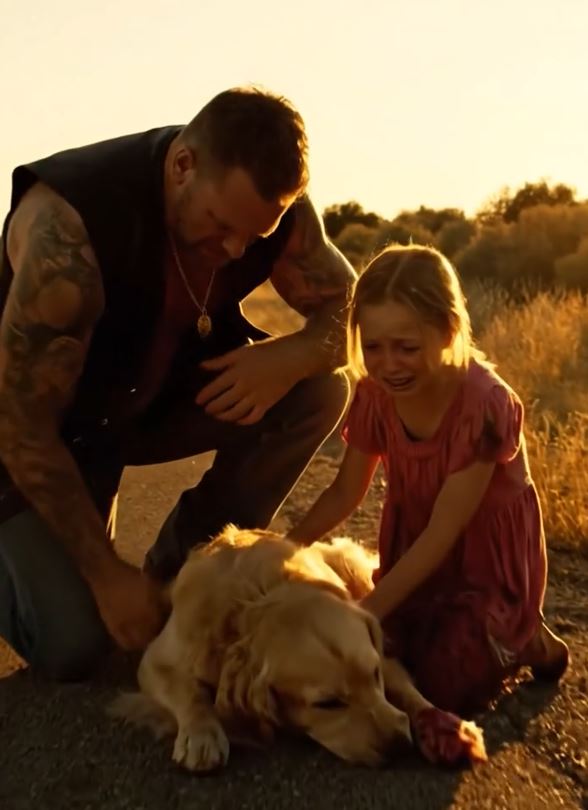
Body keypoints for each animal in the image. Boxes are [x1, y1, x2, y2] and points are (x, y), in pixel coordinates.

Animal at [111, 525, 486, 770]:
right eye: (328, 704)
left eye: (374, 675)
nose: (400, 745)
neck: (256, 597)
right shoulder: (156, 660)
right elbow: (188, 691)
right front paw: (202, 734)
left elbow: (406, 688)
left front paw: (445, 725)